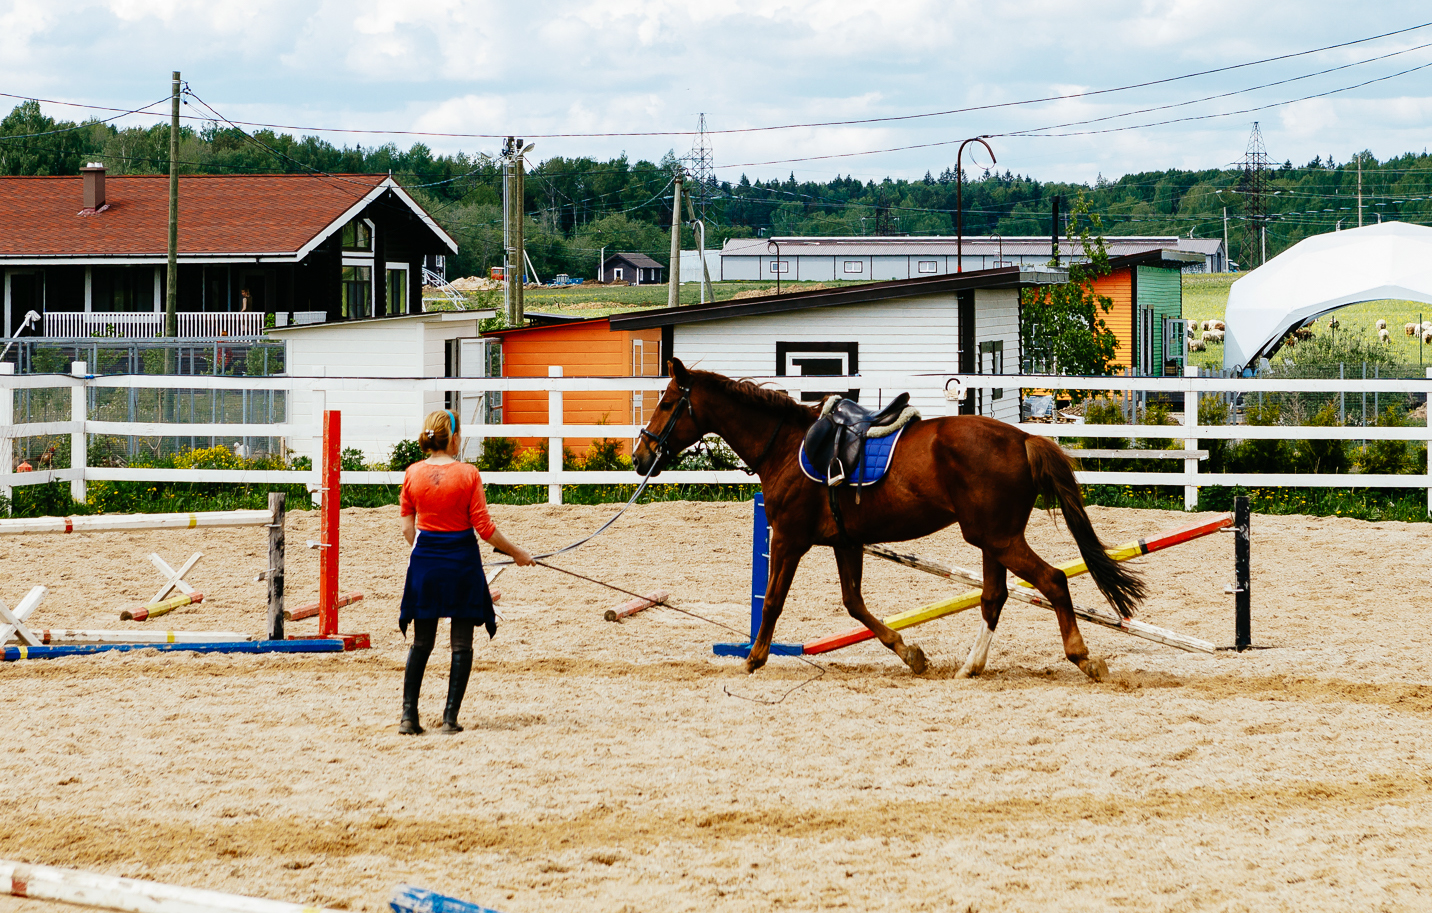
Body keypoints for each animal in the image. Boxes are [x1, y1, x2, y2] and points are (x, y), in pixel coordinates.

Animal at [632, 360, 1145, 684]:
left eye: (667, 403)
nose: (640, 457)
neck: (785, 445)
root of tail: (1023, 438)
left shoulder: (789, 539)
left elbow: (774, 602)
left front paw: (755, 658)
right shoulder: (846, 542)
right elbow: (854, 603)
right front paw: (911, 654)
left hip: (998, 539)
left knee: (1052, 580)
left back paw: (1083, 658)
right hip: (992, 539)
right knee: (994, 597)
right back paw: (971, 666)